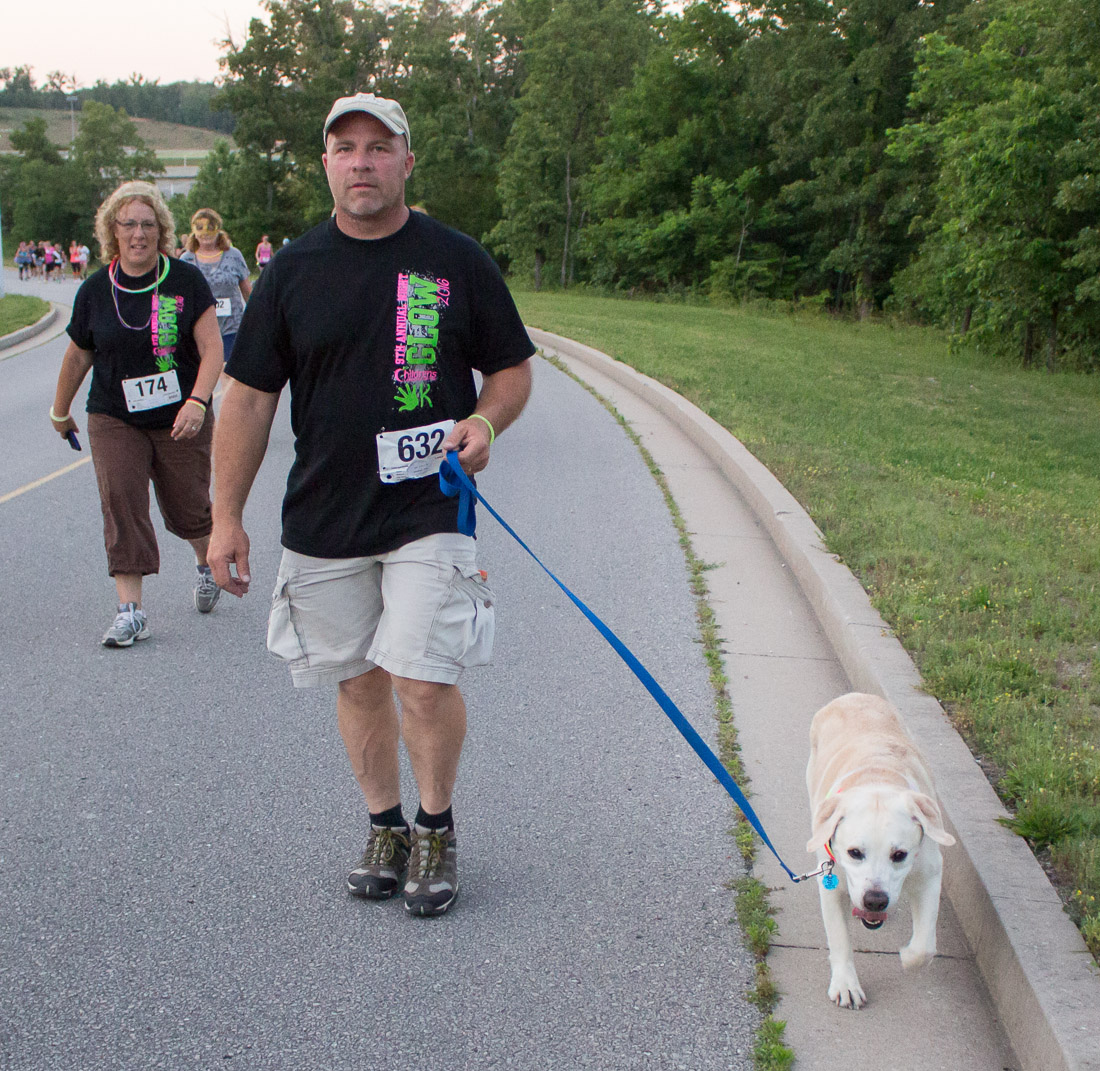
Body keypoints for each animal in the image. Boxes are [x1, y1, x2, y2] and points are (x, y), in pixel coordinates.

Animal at [805, 692, 956, 1008]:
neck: (877, 779)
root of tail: (853, 695)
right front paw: (846, 985)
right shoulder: (829, 882)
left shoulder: (930, 873)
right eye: (854, 853)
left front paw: (908, 956)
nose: (875, 901)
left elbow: (925, 946)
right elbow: (839, 938)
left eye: (899, 855)